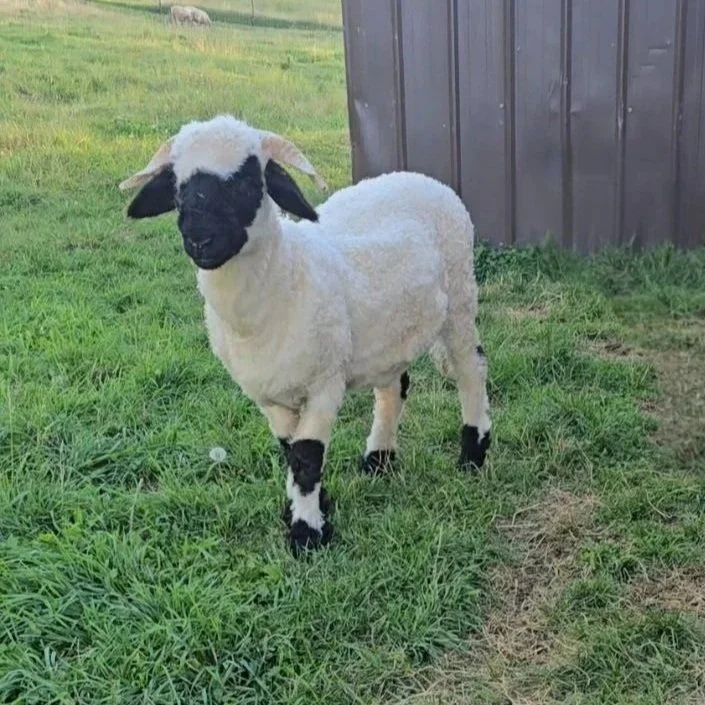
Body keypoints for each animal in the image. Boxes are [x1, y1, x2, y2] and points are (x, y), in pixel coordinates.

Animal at [118, 114, 492, 555]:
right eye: (178, 188)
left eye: (249, 183)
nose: (199, 239)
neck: (285, 278)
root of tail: (417, 177)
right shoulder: (268, 396)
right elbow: (290, 453)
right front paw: (310, 507)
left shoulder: (323, 384)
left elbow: (308, 457)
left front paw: (307, 532)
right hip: (387, 332)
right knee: (393, 388)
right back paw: (379, 458)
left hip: (460, 296)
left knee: (471, 369)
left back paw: (473, 453)